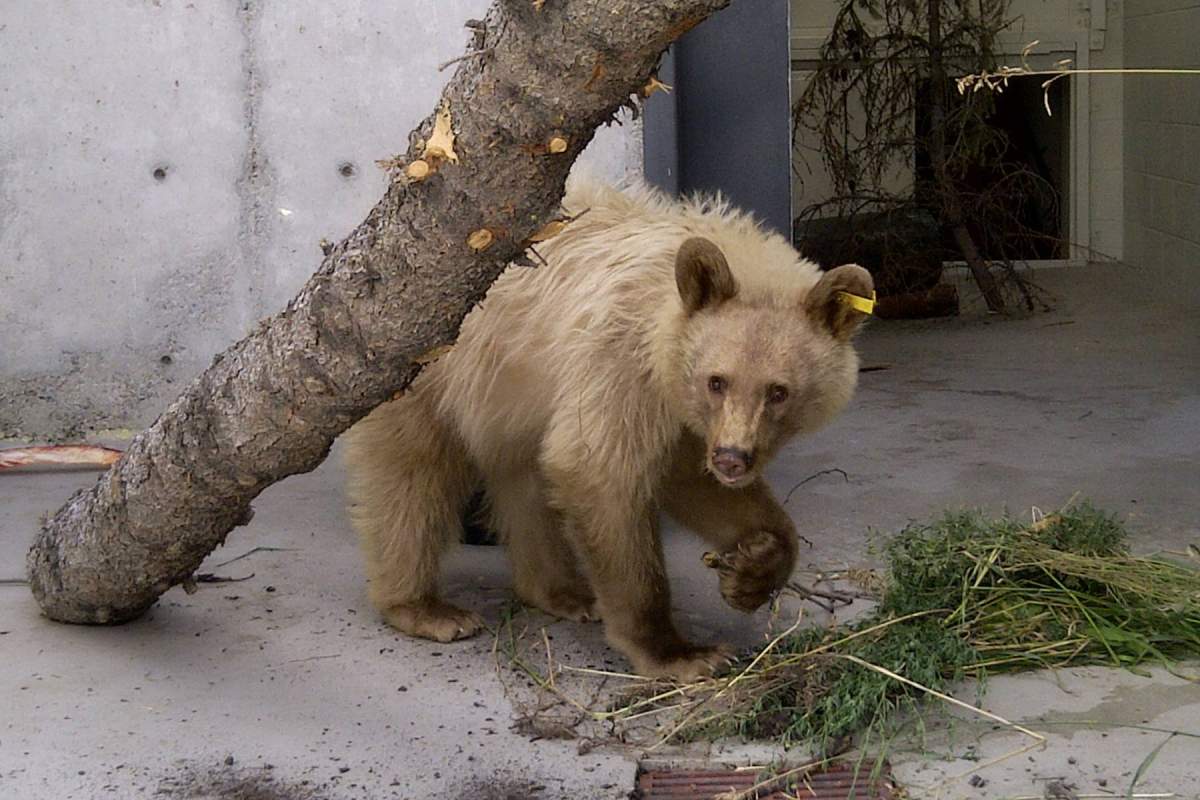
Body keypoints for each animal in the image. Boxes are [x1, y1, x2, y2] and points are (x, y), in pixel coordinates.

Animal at [343, 177, 873, 681]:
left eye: (779, 391)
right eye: (717, 380)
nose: (732, 459)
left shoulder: (679, 413)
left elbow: (692, 481)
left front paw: (751, 568)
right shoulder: (620, 364)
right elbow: (601, 473)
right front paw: (681, 653)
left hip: (511, 397)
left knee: (526, 481)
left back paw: (562, 592)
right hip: (426, 373)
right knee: (412, 479)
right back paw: (426, 608)